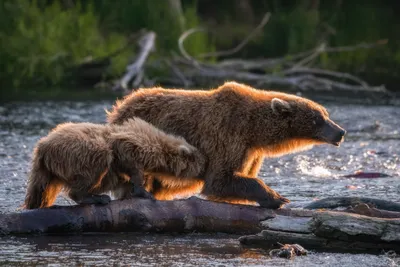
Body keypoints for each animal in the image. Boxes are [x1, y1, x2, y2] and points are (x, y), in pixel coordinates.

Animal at [107, 81, 346, 209]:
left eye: (325, 113)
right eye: (317, 119)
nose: (340, 132)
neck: (255, 130)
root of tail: (121, 105)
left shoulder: (252, 152)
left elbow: (240, 175)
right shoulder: (228, 135)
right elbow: (220, 180)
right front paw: (277, 197)